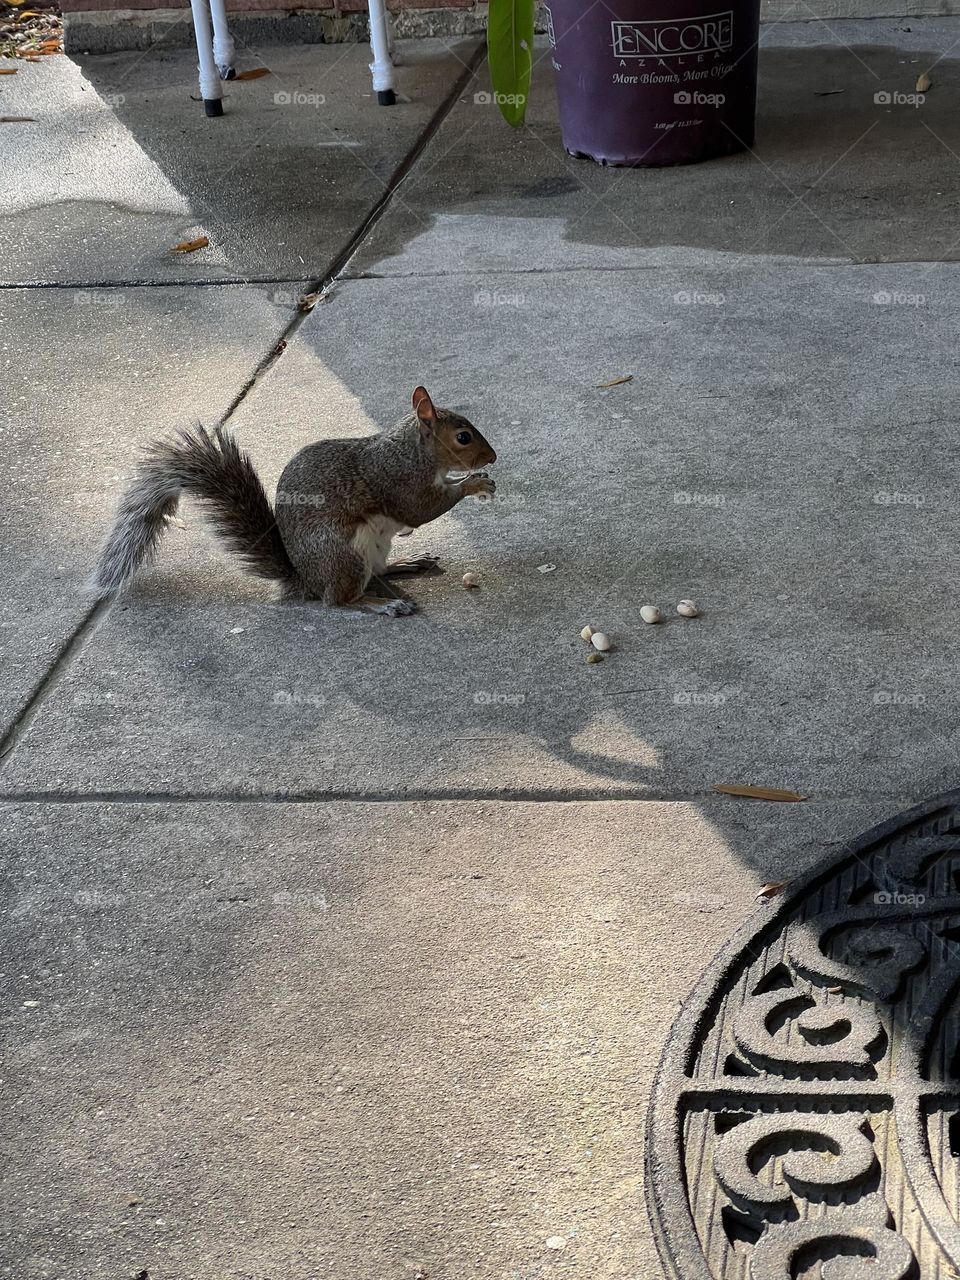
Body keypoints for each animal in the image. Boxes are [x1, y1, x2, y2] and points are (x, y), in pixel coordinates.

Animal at [92, 386, 497, 617]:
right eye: (463, 437)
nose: (491, 457)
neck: (411, 451)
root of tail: (307, 581)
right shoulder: (398, 481)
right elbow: (421, 509)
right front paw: (474, 484)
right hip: (344, 556)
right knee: (337, 601)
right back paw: (384, 604)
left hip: (372, 549)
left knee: (377, 573)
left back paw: (408, 562)